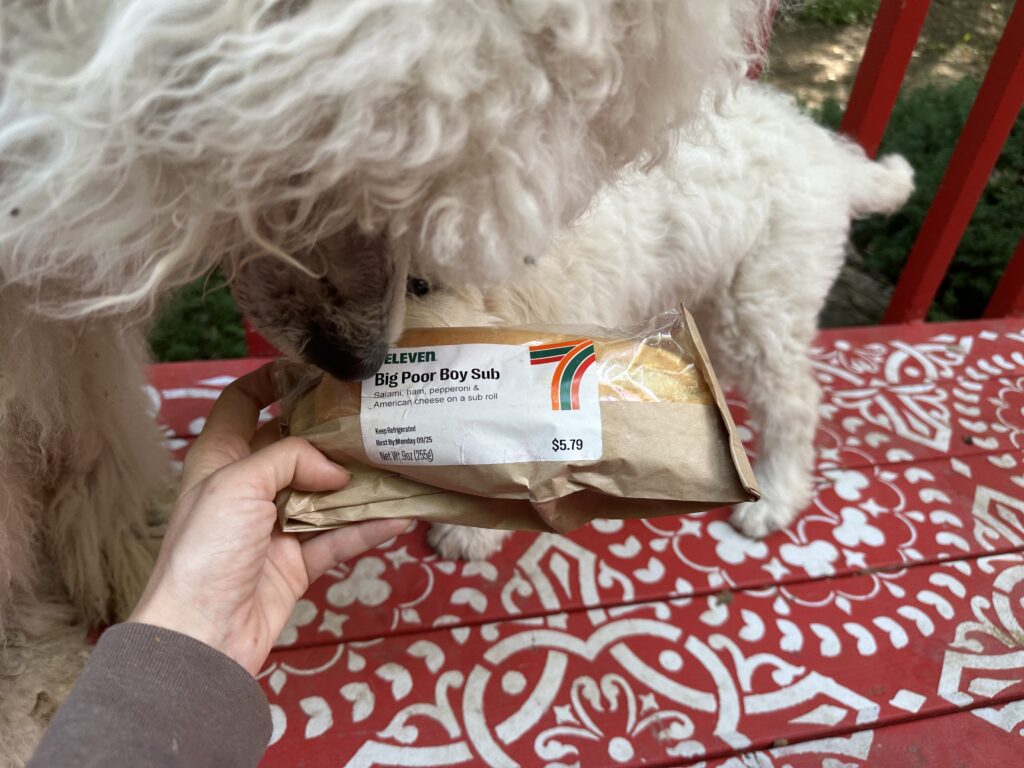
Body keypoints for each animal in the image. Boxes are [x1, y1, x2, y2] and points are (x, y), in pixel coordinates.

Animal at [404, 81, 915, 561]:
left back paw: (774, 497)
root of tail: (831, 153)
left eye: (419, 284)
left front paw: (471, 531)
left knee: (794, 401)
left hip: (761, 302)